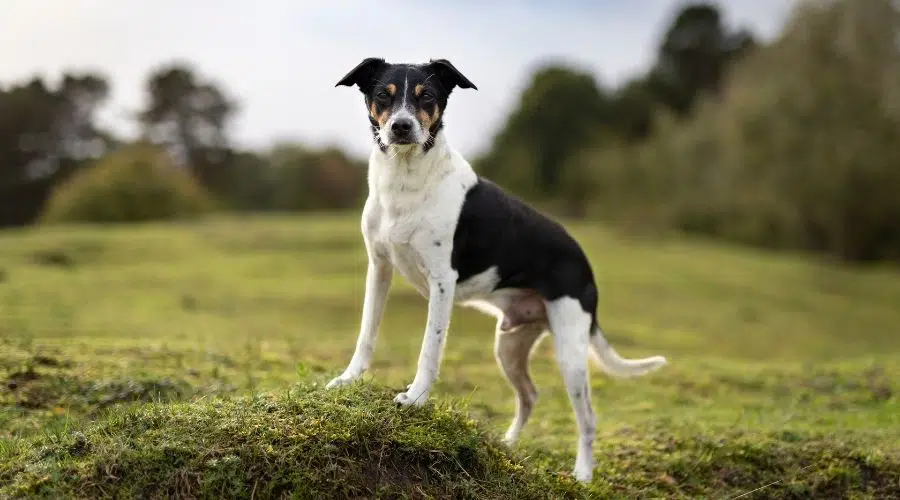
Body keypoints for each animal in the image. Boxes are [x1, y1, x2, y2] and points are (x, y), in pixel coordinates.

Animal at [326, 56, 668, 482]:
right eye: (382, 95)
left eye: (428, 96)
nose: (401, 127)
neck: (405, 181)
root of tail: (584, 263)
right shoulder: (380, 268)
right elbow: (366, 335)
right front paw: (348, 380)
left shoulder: (442, 283)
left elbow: (429, 349)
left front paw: (416, 398)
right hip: (510, 346)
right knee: (530, 395)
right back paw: (507, 446)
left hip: (571, 350)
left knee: (587, 418)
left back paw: (582, 476)